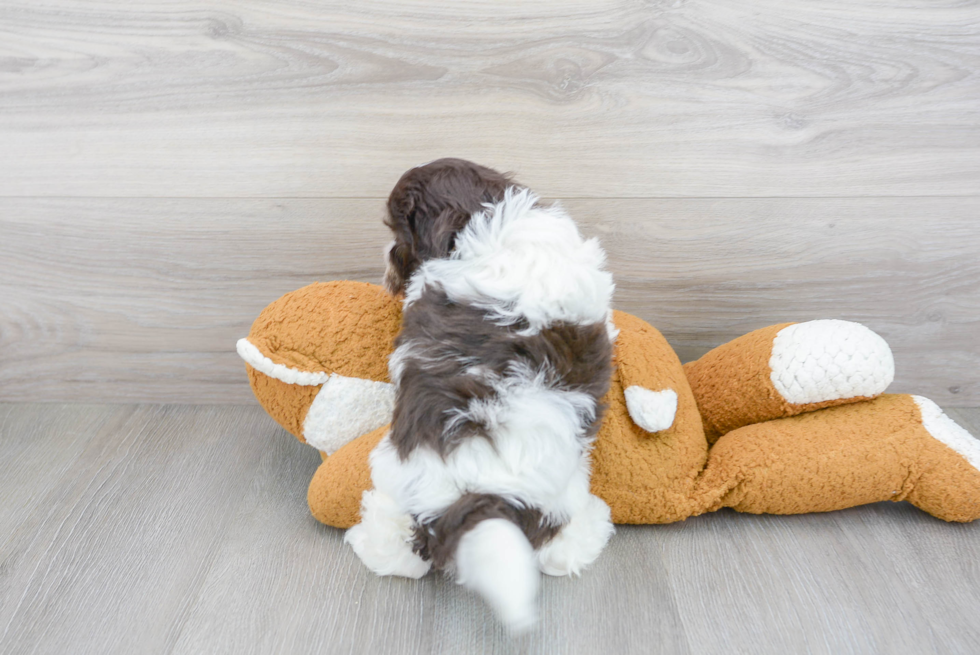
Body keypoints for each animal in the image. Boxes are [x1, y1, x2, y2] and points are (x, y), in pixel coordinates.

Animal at [348, 158, 616, 632]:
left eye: (395, 232)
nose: (386, 259)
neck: (481, 215)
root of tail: (482, 493)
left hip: (394, 476)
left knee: (398, 546)